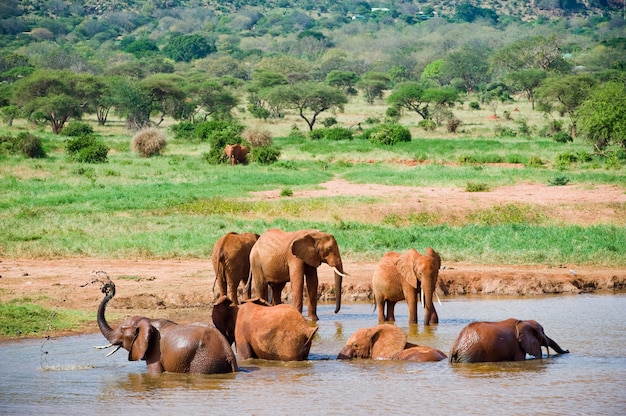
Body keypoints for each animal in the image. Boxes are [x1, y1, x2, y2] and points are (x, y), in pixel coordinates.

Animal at [95, 280, 236, 374]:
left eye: (122, 330)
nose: (108, 287)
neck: (148, 320)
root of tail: (228, 353)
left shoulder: (155, 352)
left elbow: (154, 373)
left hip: (203, 361)